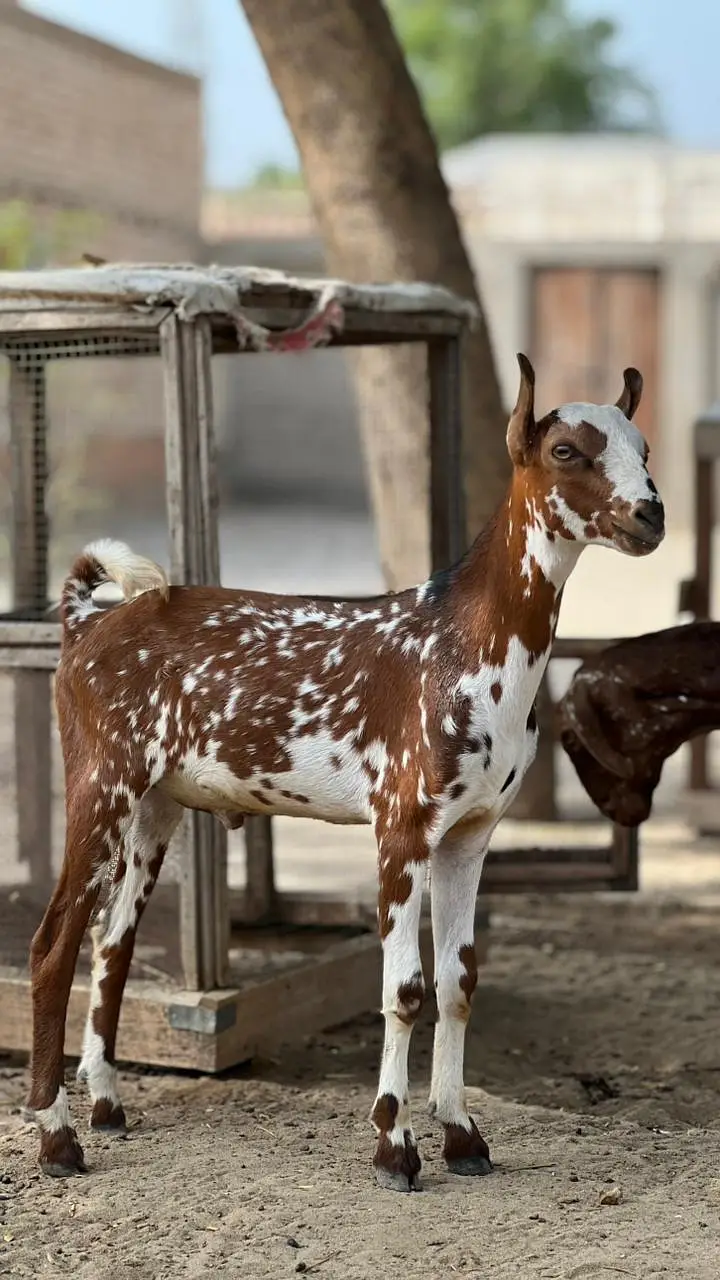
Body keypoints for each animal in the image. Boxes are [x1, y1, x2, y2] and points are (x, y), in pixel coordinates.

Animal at [27, 354, 664, 1188]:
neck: (462, 641)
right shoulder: (403, 828)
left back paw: (104, 1104)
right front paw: (395, 1145)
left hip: (152, 809)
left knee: (111, 946)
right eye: (566, 451)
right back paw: (57, 1138)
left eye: (643, 447)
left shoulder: (469, 836)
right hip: (99, 784)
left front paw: (462, 1134)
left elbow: (458, 984)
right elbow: (404, 989)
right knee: (53, 948)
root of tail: (87, 620)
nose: (650, 515)